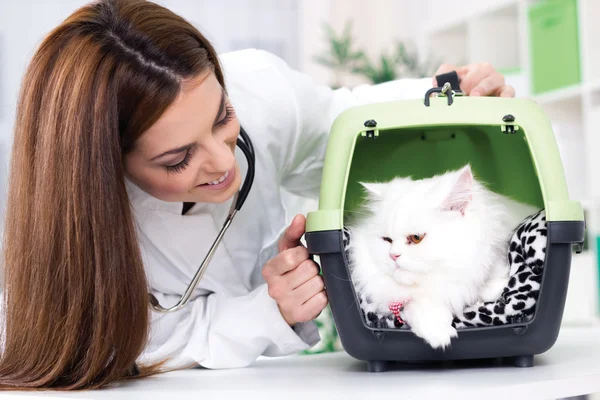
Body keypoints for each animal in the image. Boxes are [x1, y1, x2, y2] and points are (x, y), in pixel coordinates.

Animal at [346, 164, 540, 348]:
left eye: (416, 238)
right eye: (387, 240)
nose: (393, 255)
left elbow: (491, 286)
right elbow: (417, 304)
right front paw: (438, 332)